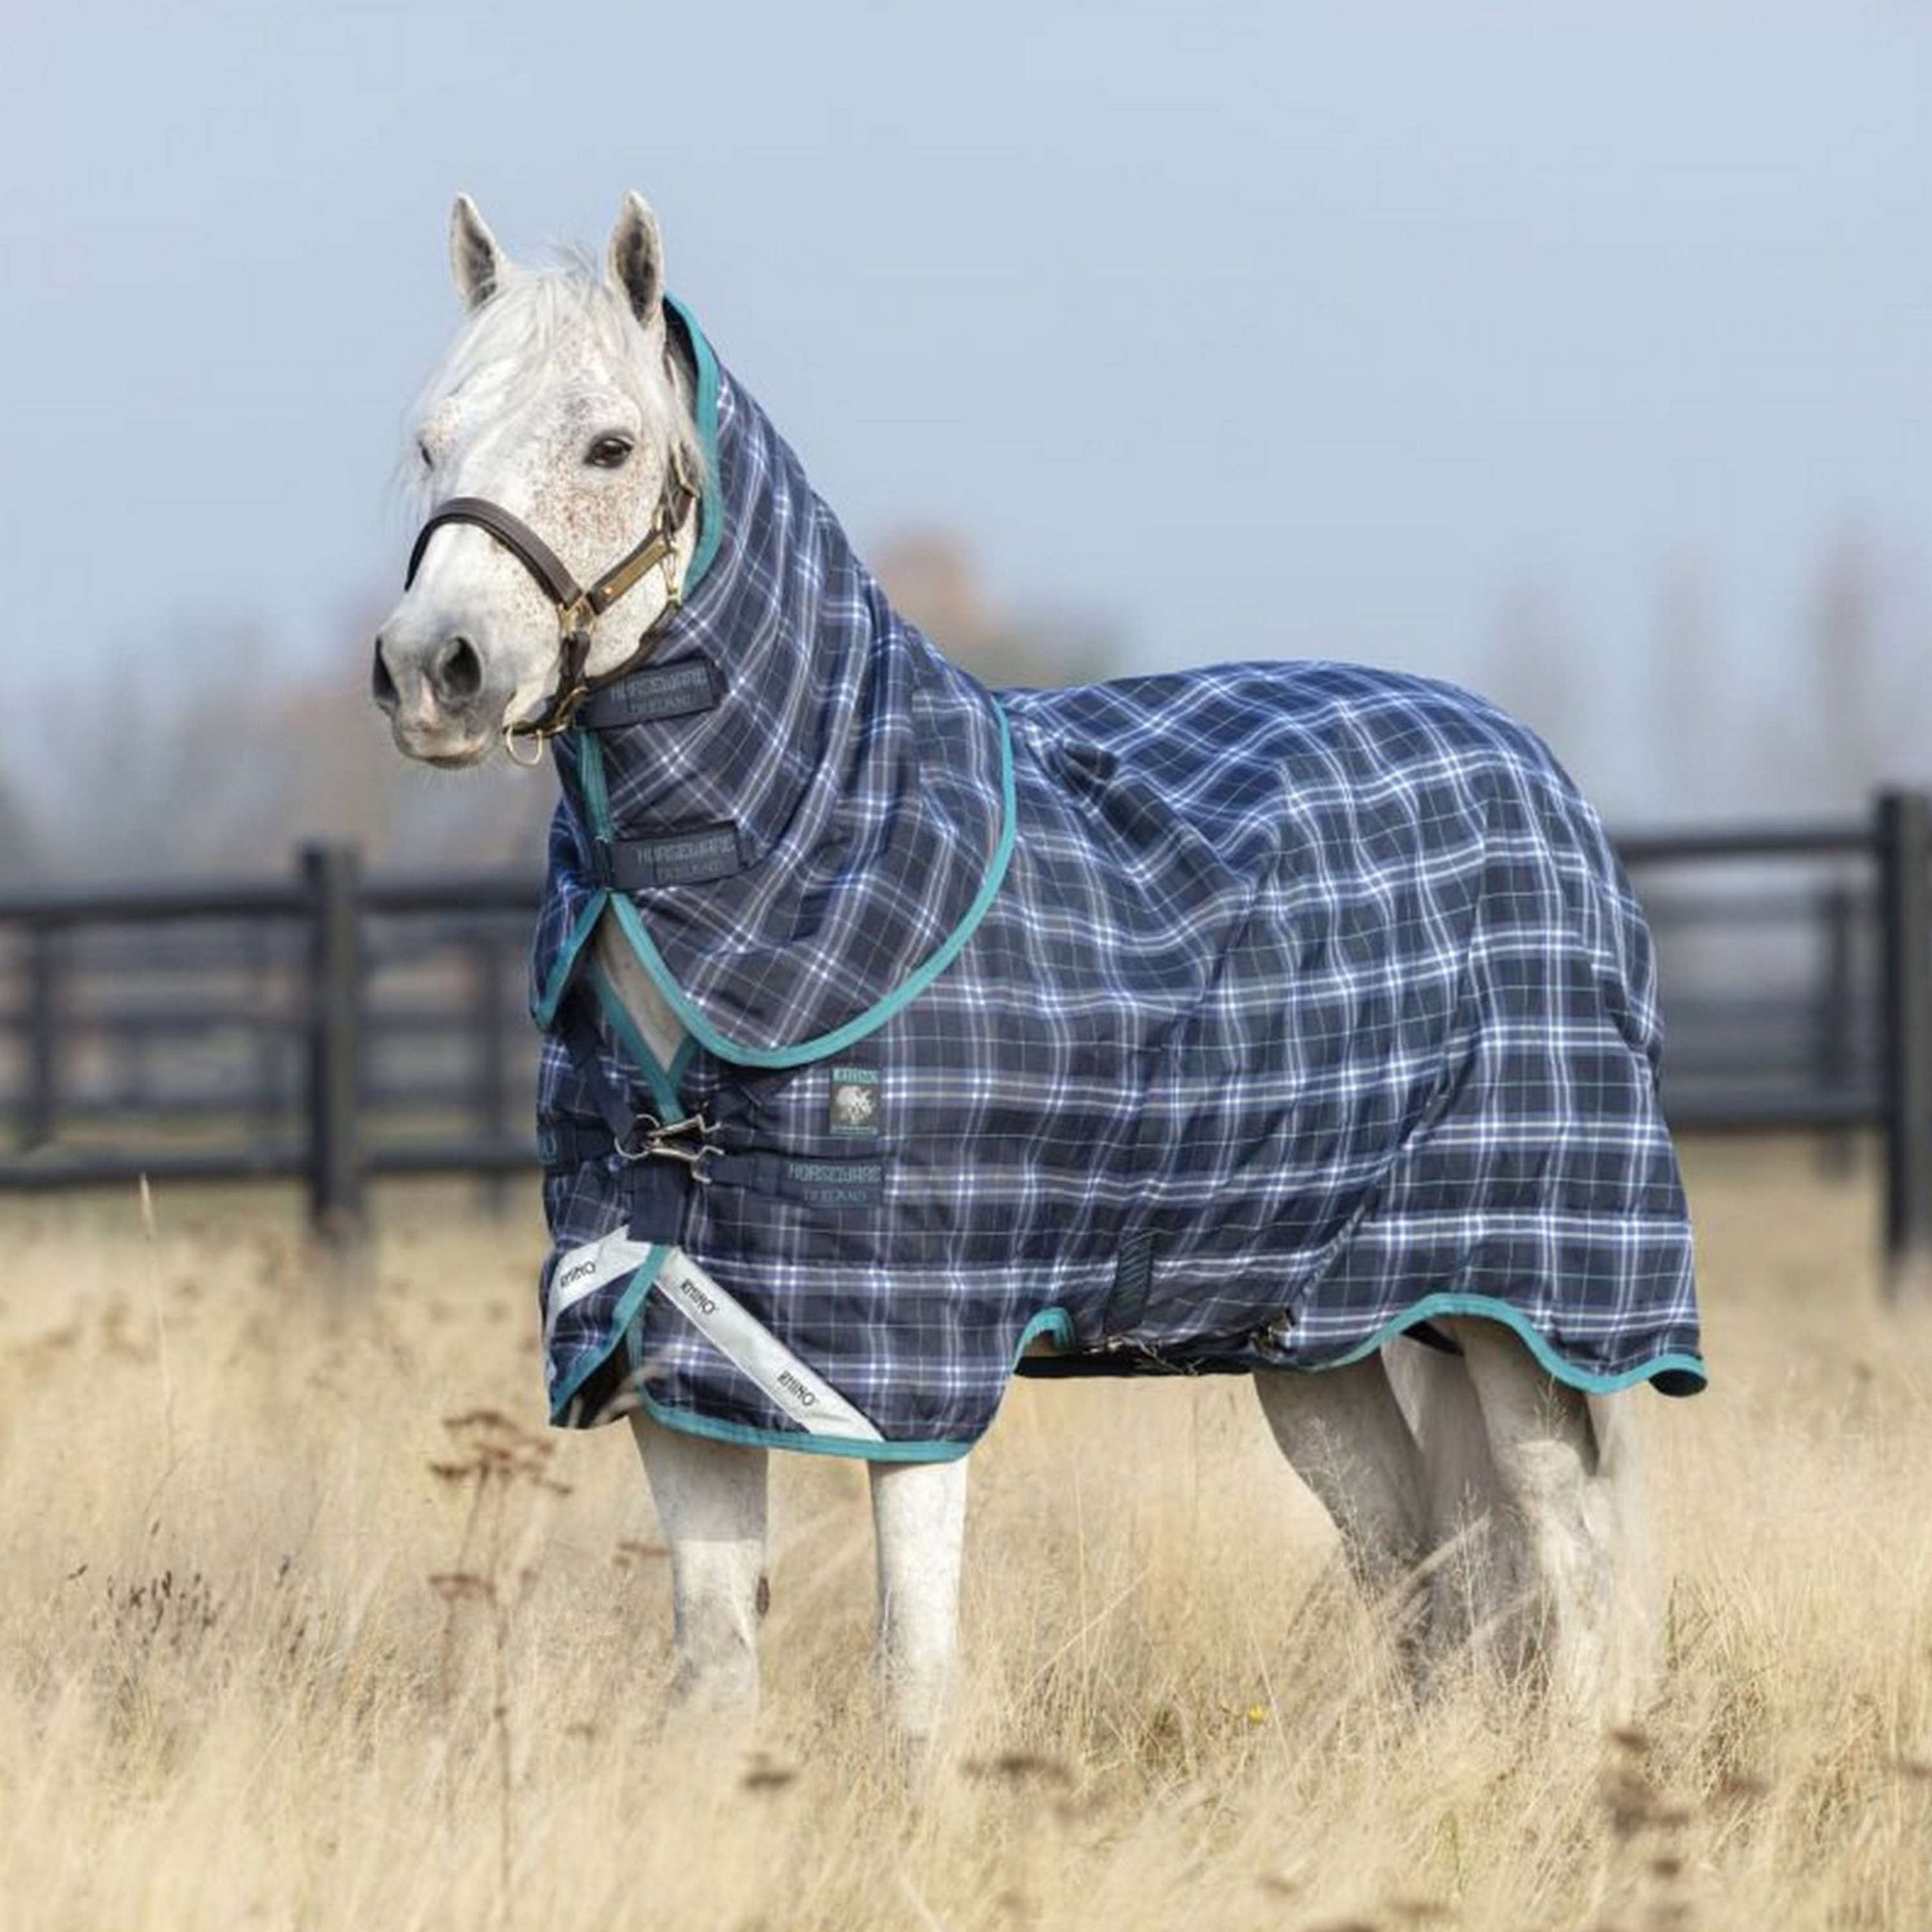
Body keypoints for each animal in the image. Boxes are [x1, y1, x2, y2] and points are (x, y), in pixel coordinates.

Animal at [371, 191, 1704, 1759]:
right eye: (431, 440)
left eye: (609, 446)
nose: (434, 671)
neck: (823, 846)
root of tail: (1536, 773)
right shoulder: (663, 1328)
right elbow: (715, 1662)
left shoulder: (903, 1368)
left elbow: (913, 1671)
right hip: (1320, 1335)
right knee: (1421, 1568)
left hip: (1526, 1319)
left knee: (1571, 1568)